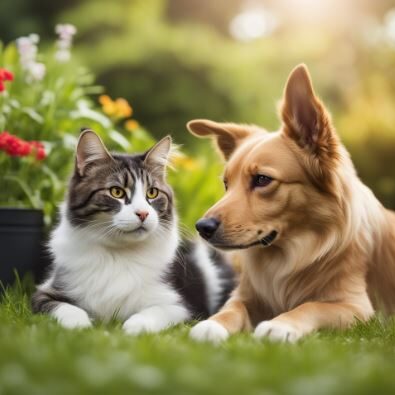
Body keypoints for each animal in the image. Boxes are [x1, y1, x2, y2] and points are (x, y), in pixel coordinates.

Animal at [32, 130, 235, 334]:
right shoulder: (45, 293)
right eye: (116, 192)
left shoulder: (182, 305)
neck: (118, 254)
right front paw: (80, 326)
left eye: (152, 193)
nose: (143, 213)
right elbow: (68, 309)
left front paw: (130, 329)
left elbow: (149, 314)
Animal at [186, 64, 395, 344]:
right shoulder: (246, 295)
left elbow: (311, 306)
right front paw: (212, 324)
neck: (293, 254)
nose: (202, 227)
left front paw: (281, 324)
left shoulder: (357, 307)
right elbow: (232, 308)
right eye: (227, 184)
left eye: (262, 179)